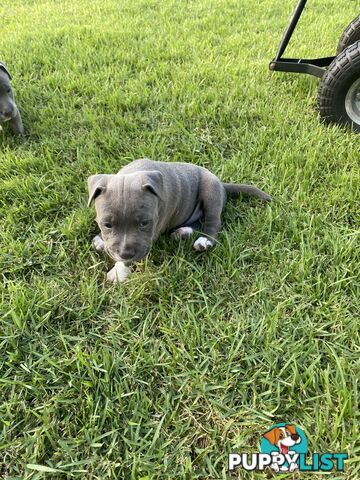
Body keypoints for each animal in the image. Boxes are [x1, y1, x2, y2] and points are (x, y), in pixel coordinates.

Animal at [88, 159, 272, 284]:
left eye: (144, 223)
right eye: (107, 225)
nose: (125, 253)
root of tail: (222, 184)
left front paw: (118, 272)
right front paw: (101, 240)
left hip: (210, 192)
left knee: (213, 222)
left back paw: (204, 241)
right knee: (198, 222)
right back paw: (183, 232)